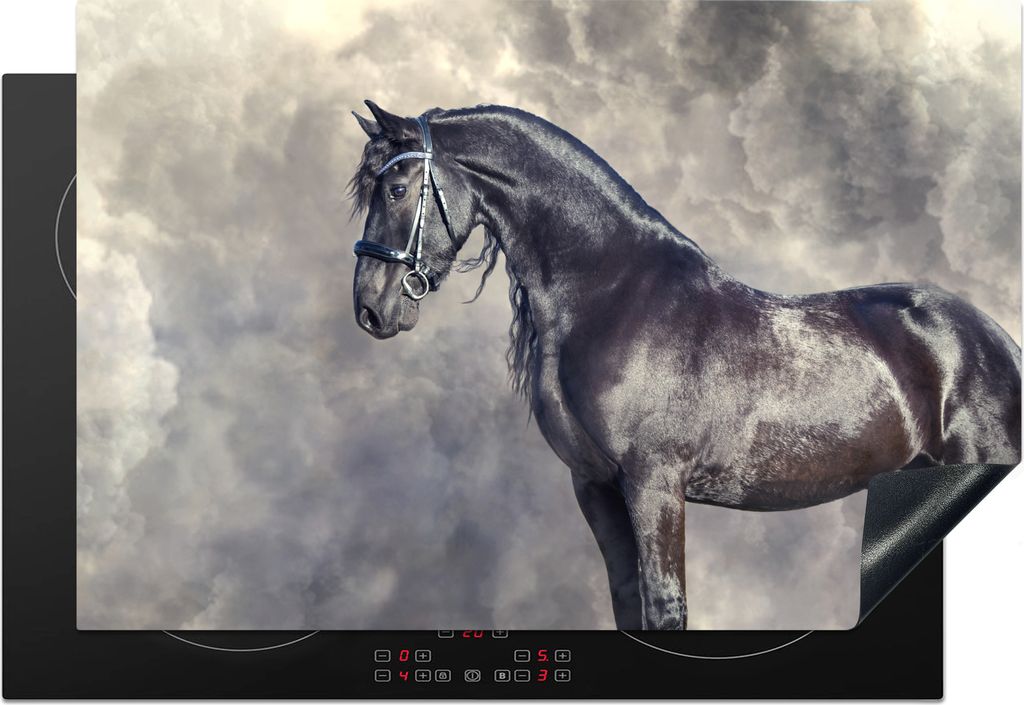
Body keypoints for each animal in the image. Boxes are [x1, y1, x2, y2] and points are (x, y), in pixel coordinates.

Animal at [348, 101, 1021, 630]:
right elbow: (629, 604)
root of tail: (995, 339)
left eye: (397, 189)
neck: (613, 295)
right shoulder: (594, 486)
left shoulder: (654, 484)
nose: (370, 310)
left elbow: (666, 608)